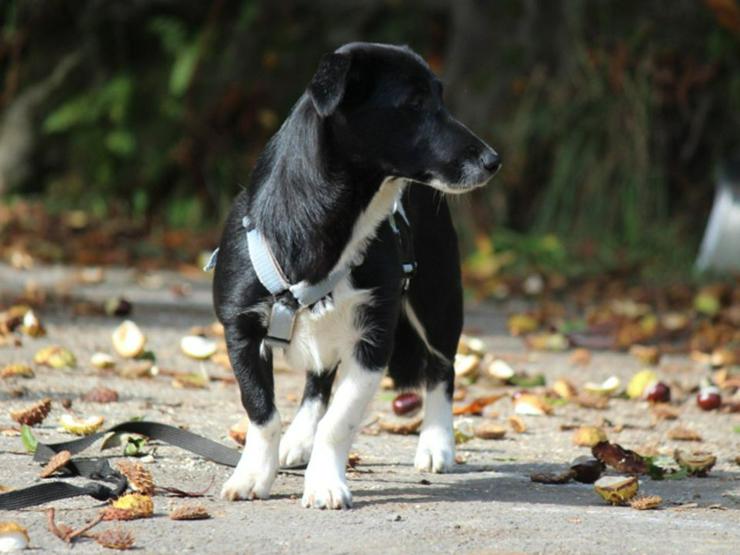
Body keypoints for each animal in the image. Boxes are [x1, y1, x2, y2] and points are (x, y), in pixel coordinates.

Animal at [214, 41, 502, 510]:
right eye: (416, 104)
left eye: (441, 99)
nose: (493, 160)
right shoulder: (240, 330)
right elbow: (262, 412)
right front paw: (254, 474)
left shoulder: (373, 338)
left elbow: (339, 421)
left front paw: (325, 483)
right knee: (317, 381)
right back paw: (299, 437)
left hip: (438, 298)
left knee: (441, 368)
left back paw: (436, 442)